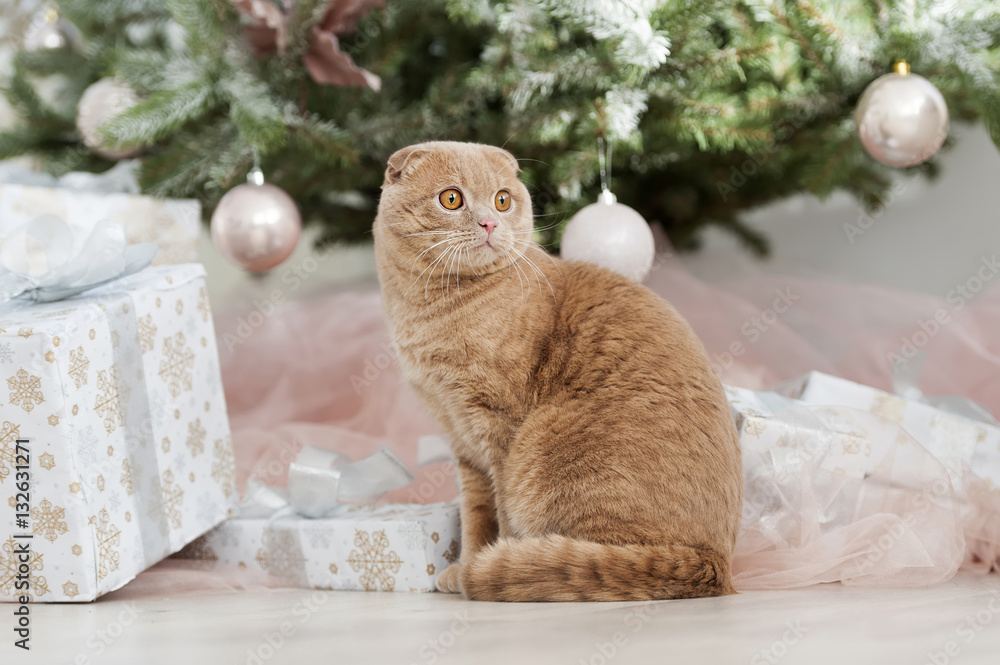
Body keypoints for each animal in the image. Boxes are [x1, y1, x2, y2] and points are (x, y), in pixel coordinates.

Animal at [374, 140, 744, 600]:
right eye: (452, 198)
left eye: (502, 199)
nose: (489, 222)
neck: (428, 310)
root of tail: (715, 563)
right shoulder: (461, 437)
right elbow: (476, 513)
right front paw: (465, 564)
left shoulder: (499, 428)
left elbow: (500, 511)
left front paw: (480, 565)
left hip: (547, 452)